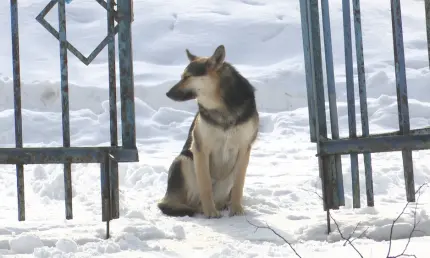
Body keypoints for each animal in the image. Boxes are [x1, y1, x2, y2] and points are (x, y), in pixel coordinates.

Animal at [157, 44, 258, 218]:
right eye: (182, 76)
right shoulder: (200, 148)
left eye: (187, 77)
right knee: (183, 203)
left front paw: (237, 209)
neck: (221, 107)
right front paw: (210, 212)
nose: (167, 93)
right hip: (183, 160)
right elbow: (205, 185)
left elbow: (239, 184)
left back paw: (224, 205)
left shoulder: (244, 149)